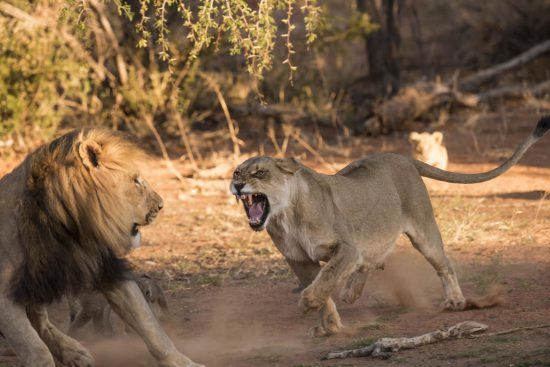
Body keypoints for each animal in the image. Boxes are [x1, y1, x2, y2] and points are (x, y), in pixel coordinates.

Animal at [0, 128, 203, 366]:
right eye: (135, 181)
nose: (161, 205)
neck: (68, 227)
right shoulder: (5, 295)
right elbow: (35, 348)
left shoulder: (106, 268)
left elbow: (150, 327)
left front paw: (184, 362)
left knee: (40, 320)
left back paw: (74, 352)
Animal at [231, 117, 548, 336]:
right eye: (236, 172)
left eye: (260, 173)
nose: (237, 185)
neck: (287, 217)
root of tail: (402, 156)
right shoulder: (298, 259)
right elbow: (325, 287)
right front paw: (329, 324)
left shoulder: (346, 247)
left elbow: (327, 278)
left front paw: (308, 303)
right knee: (373, 258)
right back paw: (351, 292)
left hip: (423, 230)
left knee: (444, 264)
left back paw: (456, 301)